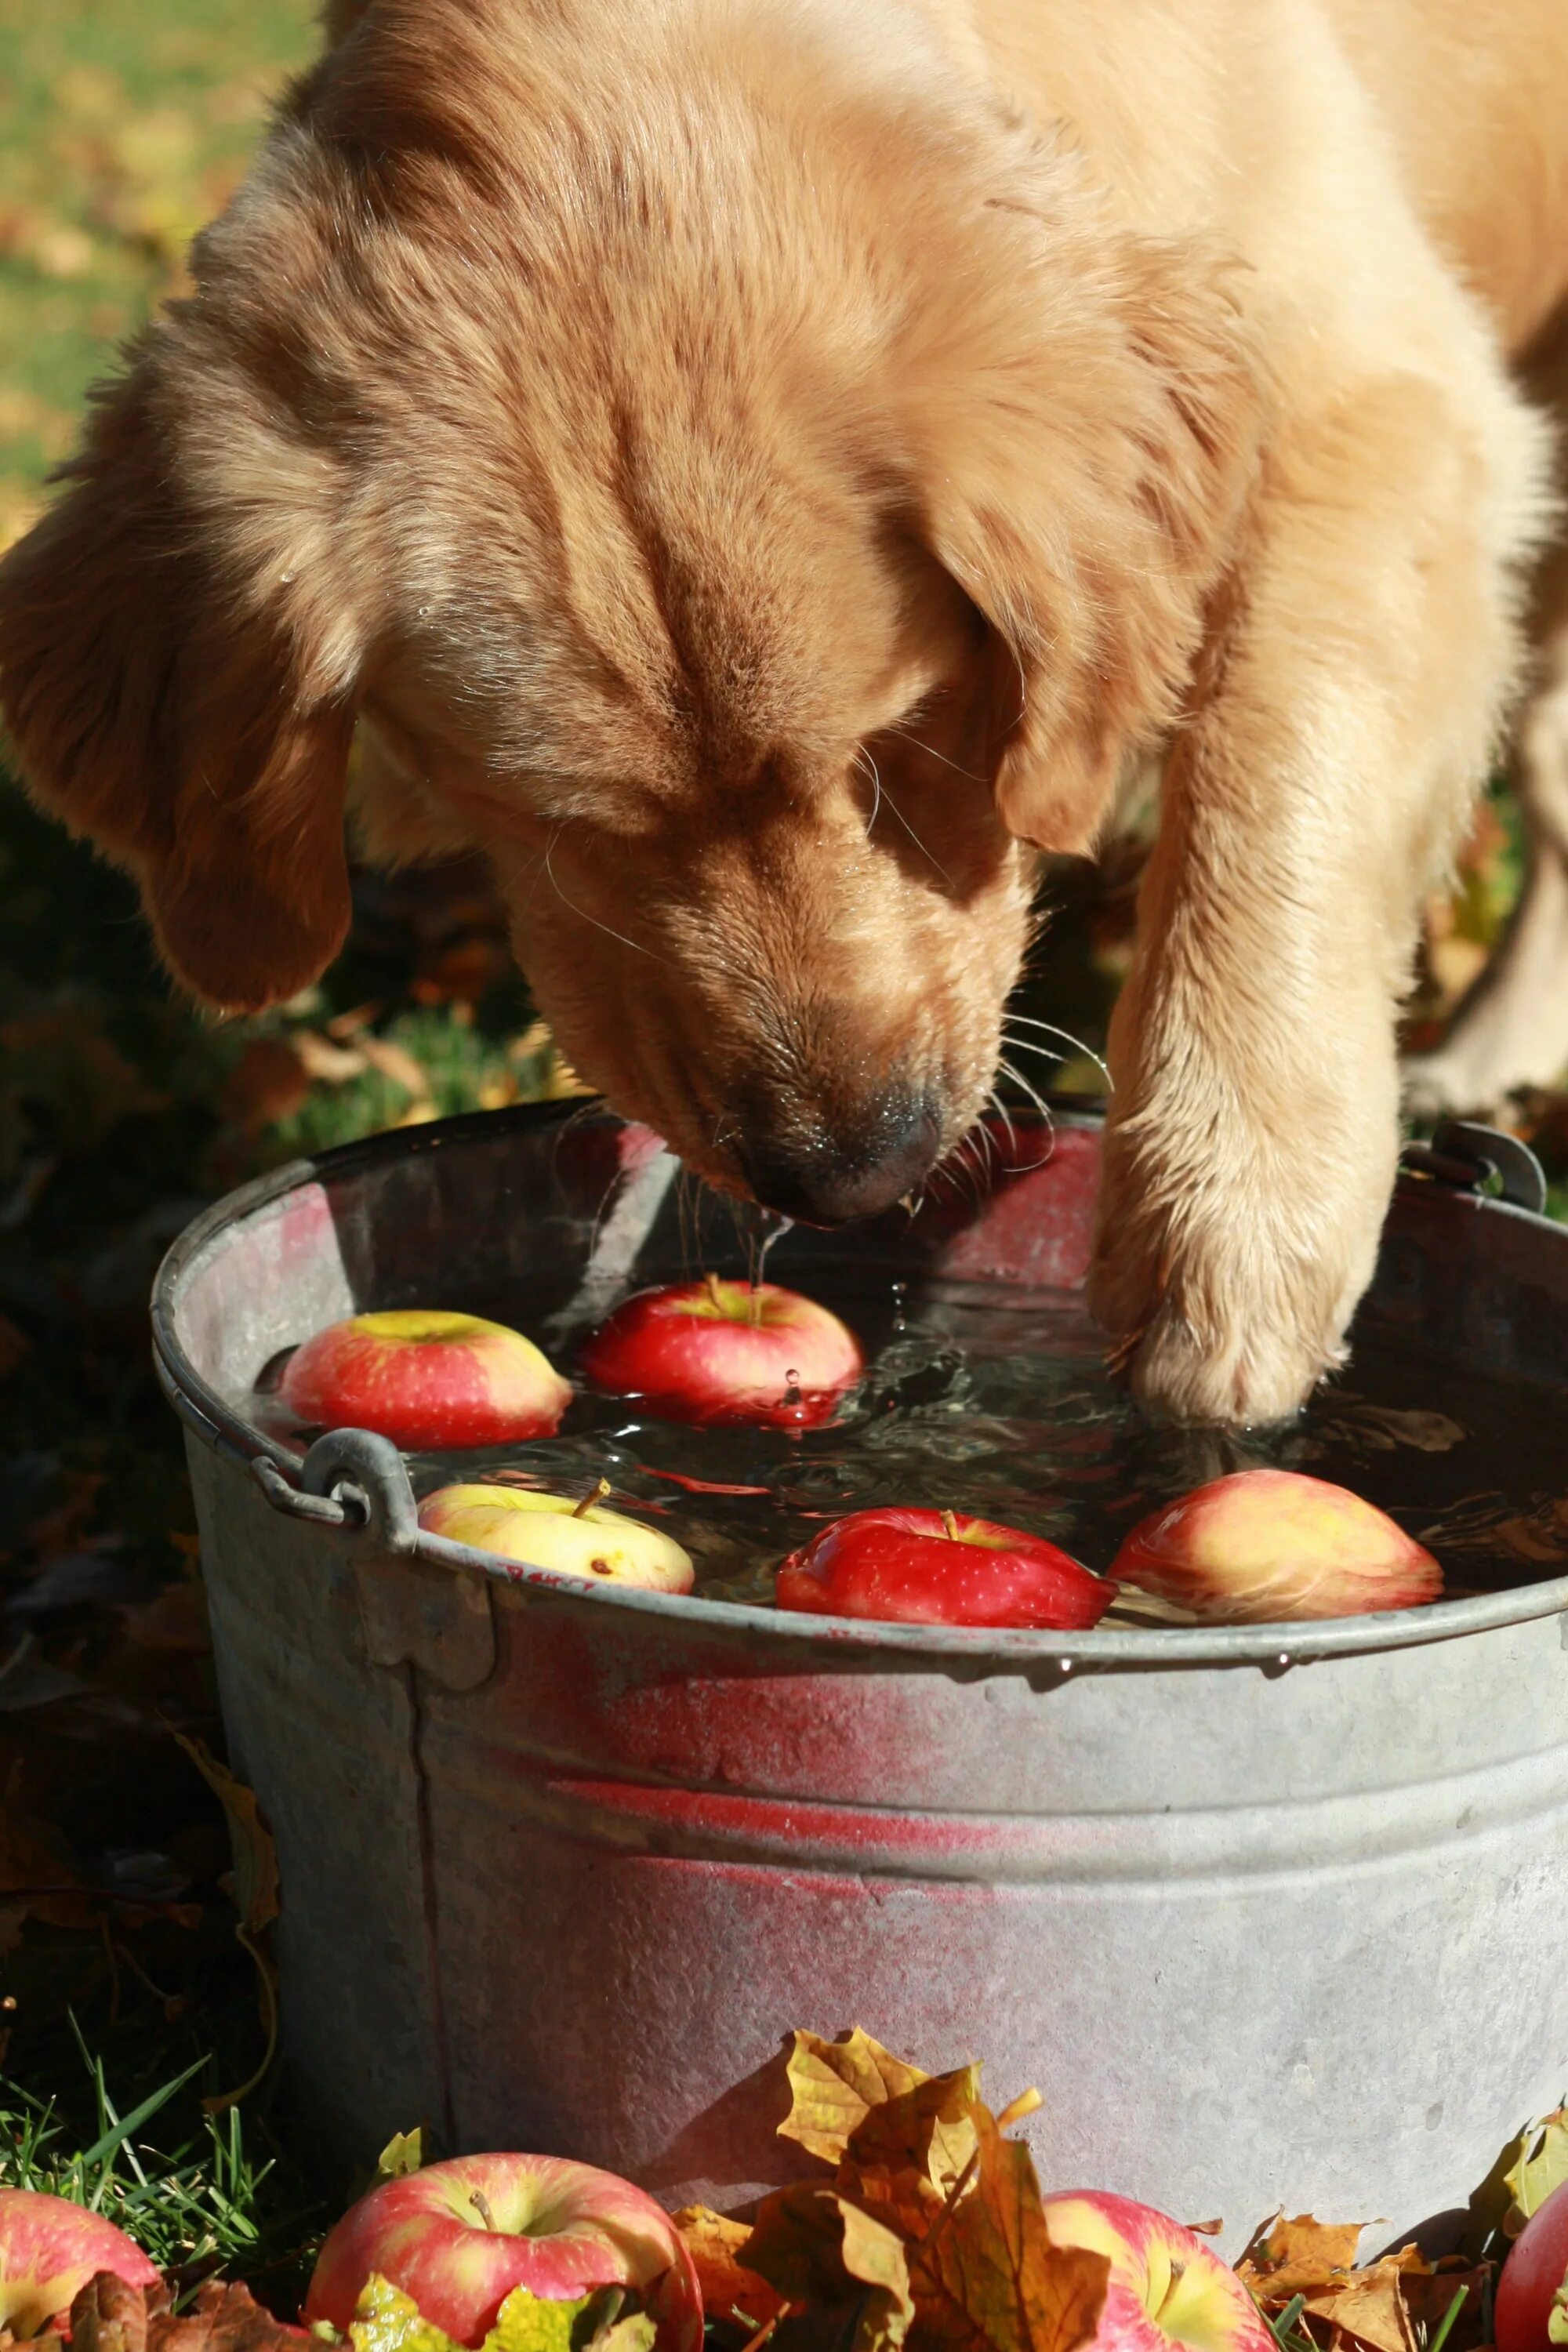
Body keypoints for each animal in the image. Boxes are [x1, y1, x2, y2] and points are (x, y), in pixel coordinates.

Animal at [2, 0, 1568, 1411]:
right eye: (559, 825)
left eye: (907, 740)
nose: (853, 1172)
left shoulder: (1384, 397)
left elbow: (1277, 770)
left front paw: (1227, 1218)